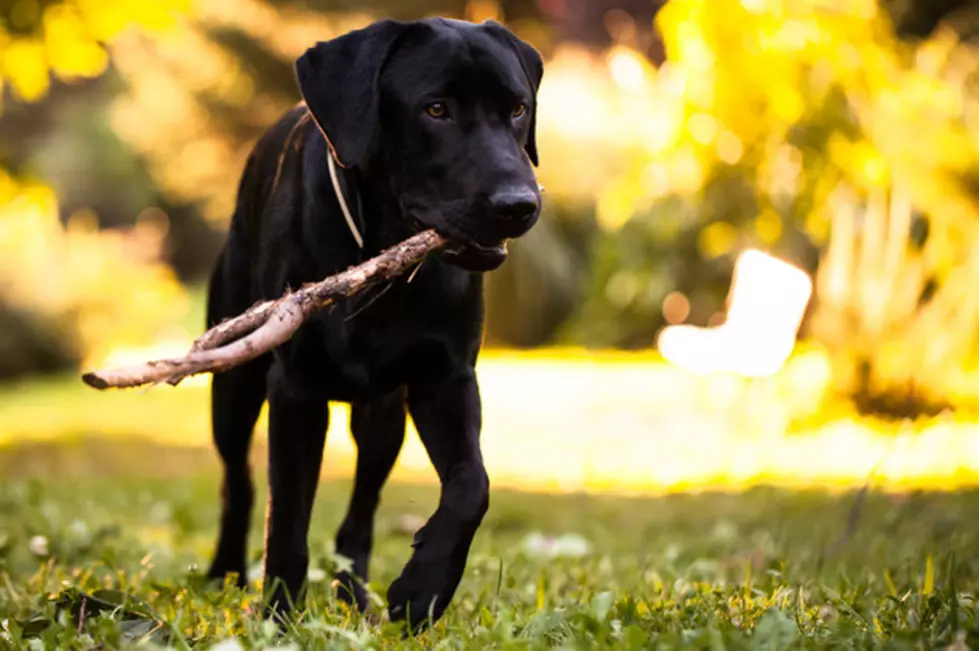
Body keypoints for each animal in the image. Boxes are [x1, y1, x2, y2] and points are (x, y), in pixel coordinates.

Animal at [205, 17, 544, 628]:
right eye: (436, 110)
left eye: (517, 109)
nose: (519, 204)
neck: (379, 252)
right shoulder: (295, 391)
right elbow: (286, 517)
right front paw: (279, 615)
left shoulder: (446, 379)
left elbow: (472, 485)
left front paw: (423, 588)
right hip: (234, 384)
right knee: (237, 482)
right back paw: (225, 573)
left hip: (383, 419)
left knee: (360, 516)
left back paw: (353, 594)